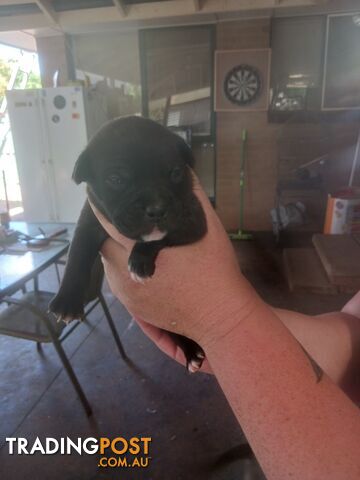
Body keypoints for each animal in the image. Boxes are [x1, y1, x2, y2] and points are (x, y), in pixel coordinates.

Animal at [50, 115, 208, 372]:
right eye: (116, 179)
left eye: (175, 172)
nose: (157, 208)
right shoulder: (89, 222)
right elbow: (77, 256)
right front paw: (68, 300)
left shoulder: (192, 220)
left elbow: (158, 237)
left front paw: (139, 261)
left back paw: (191, 350)